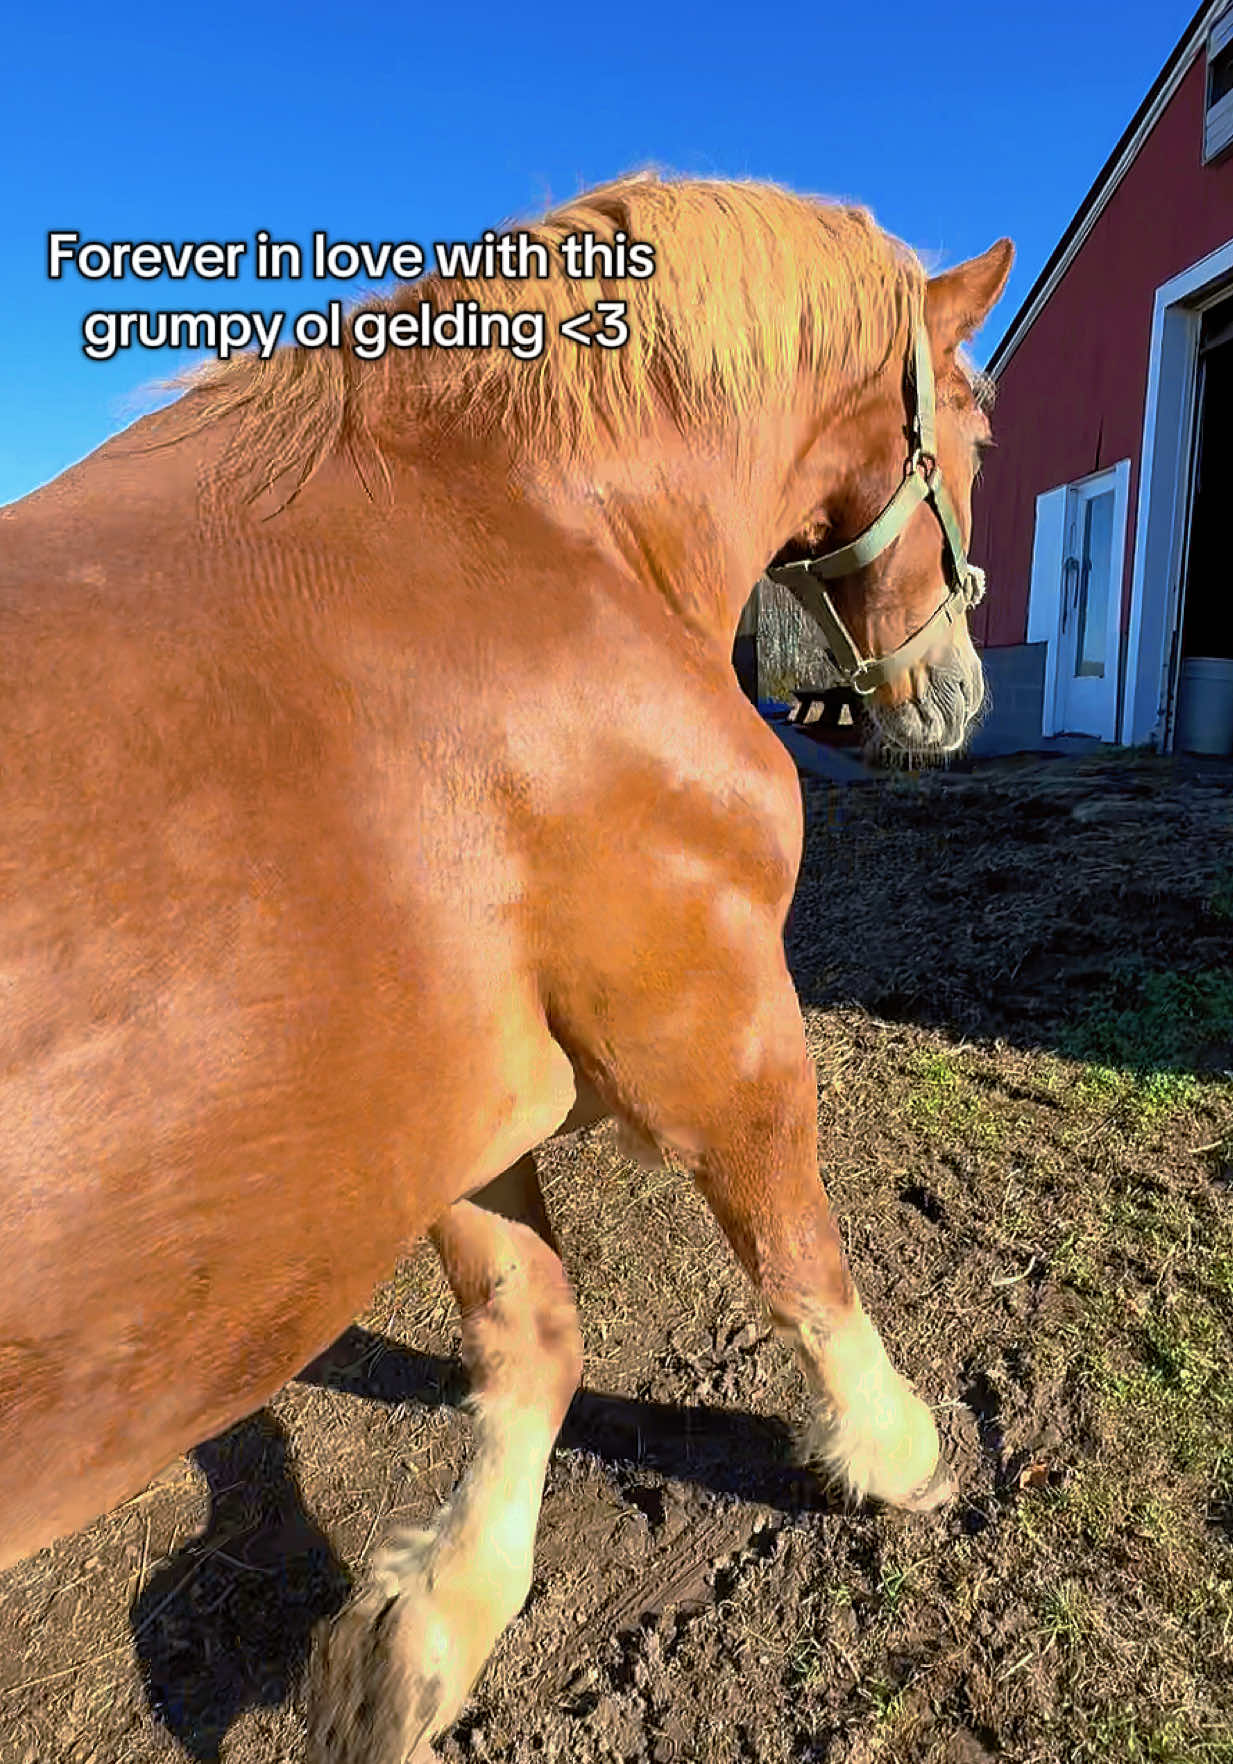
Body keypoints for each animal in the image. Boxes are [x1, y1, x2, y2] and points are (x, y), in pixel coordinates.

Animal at [0, 171, 1011, 1760]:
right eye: (973, 425)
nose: (959, 695)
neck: (538, 530)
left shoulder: (454, 1108)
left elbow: (530, 1335)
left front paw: (432, 1623)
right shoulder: (711, 1024)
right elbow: (802, 1259)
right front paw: (895, 1450)